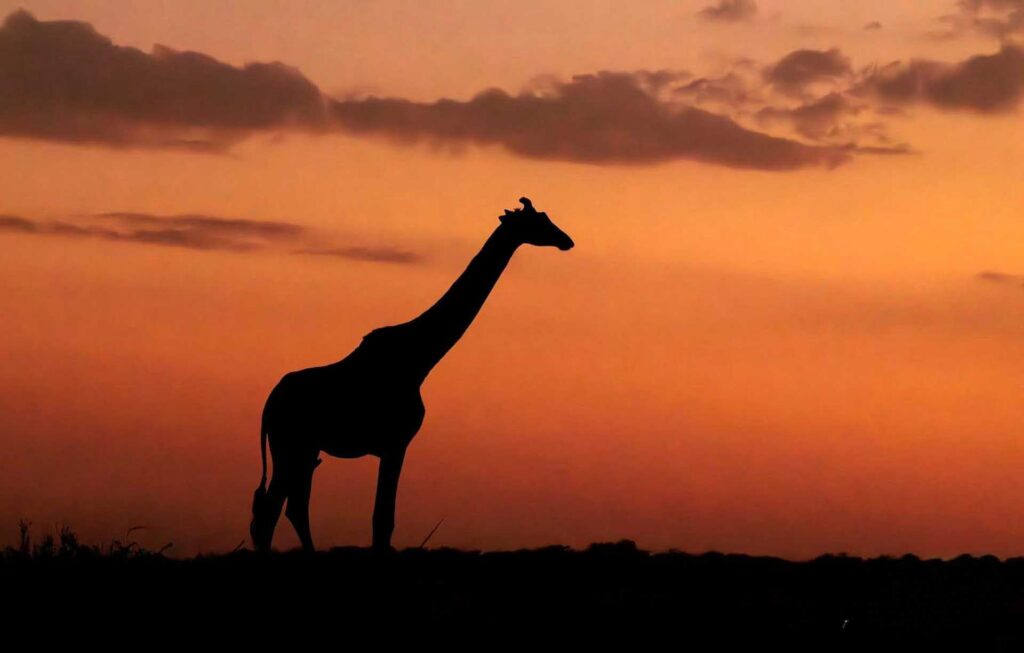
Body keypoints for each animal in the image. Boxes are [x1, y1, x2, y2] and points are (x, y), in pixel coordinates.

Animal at [250, 197, 574, 552]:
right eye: (537, 221)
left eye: (545, 217)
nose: (566, 241)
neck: (419, 359)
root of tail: (268, 403)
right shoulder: (396, 443)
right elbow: (383, 519)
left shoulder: (391, 445)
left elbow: (383, 519)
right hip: (291, 444)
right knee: (273, 510)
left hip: (303, 449)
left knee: (286, 507)